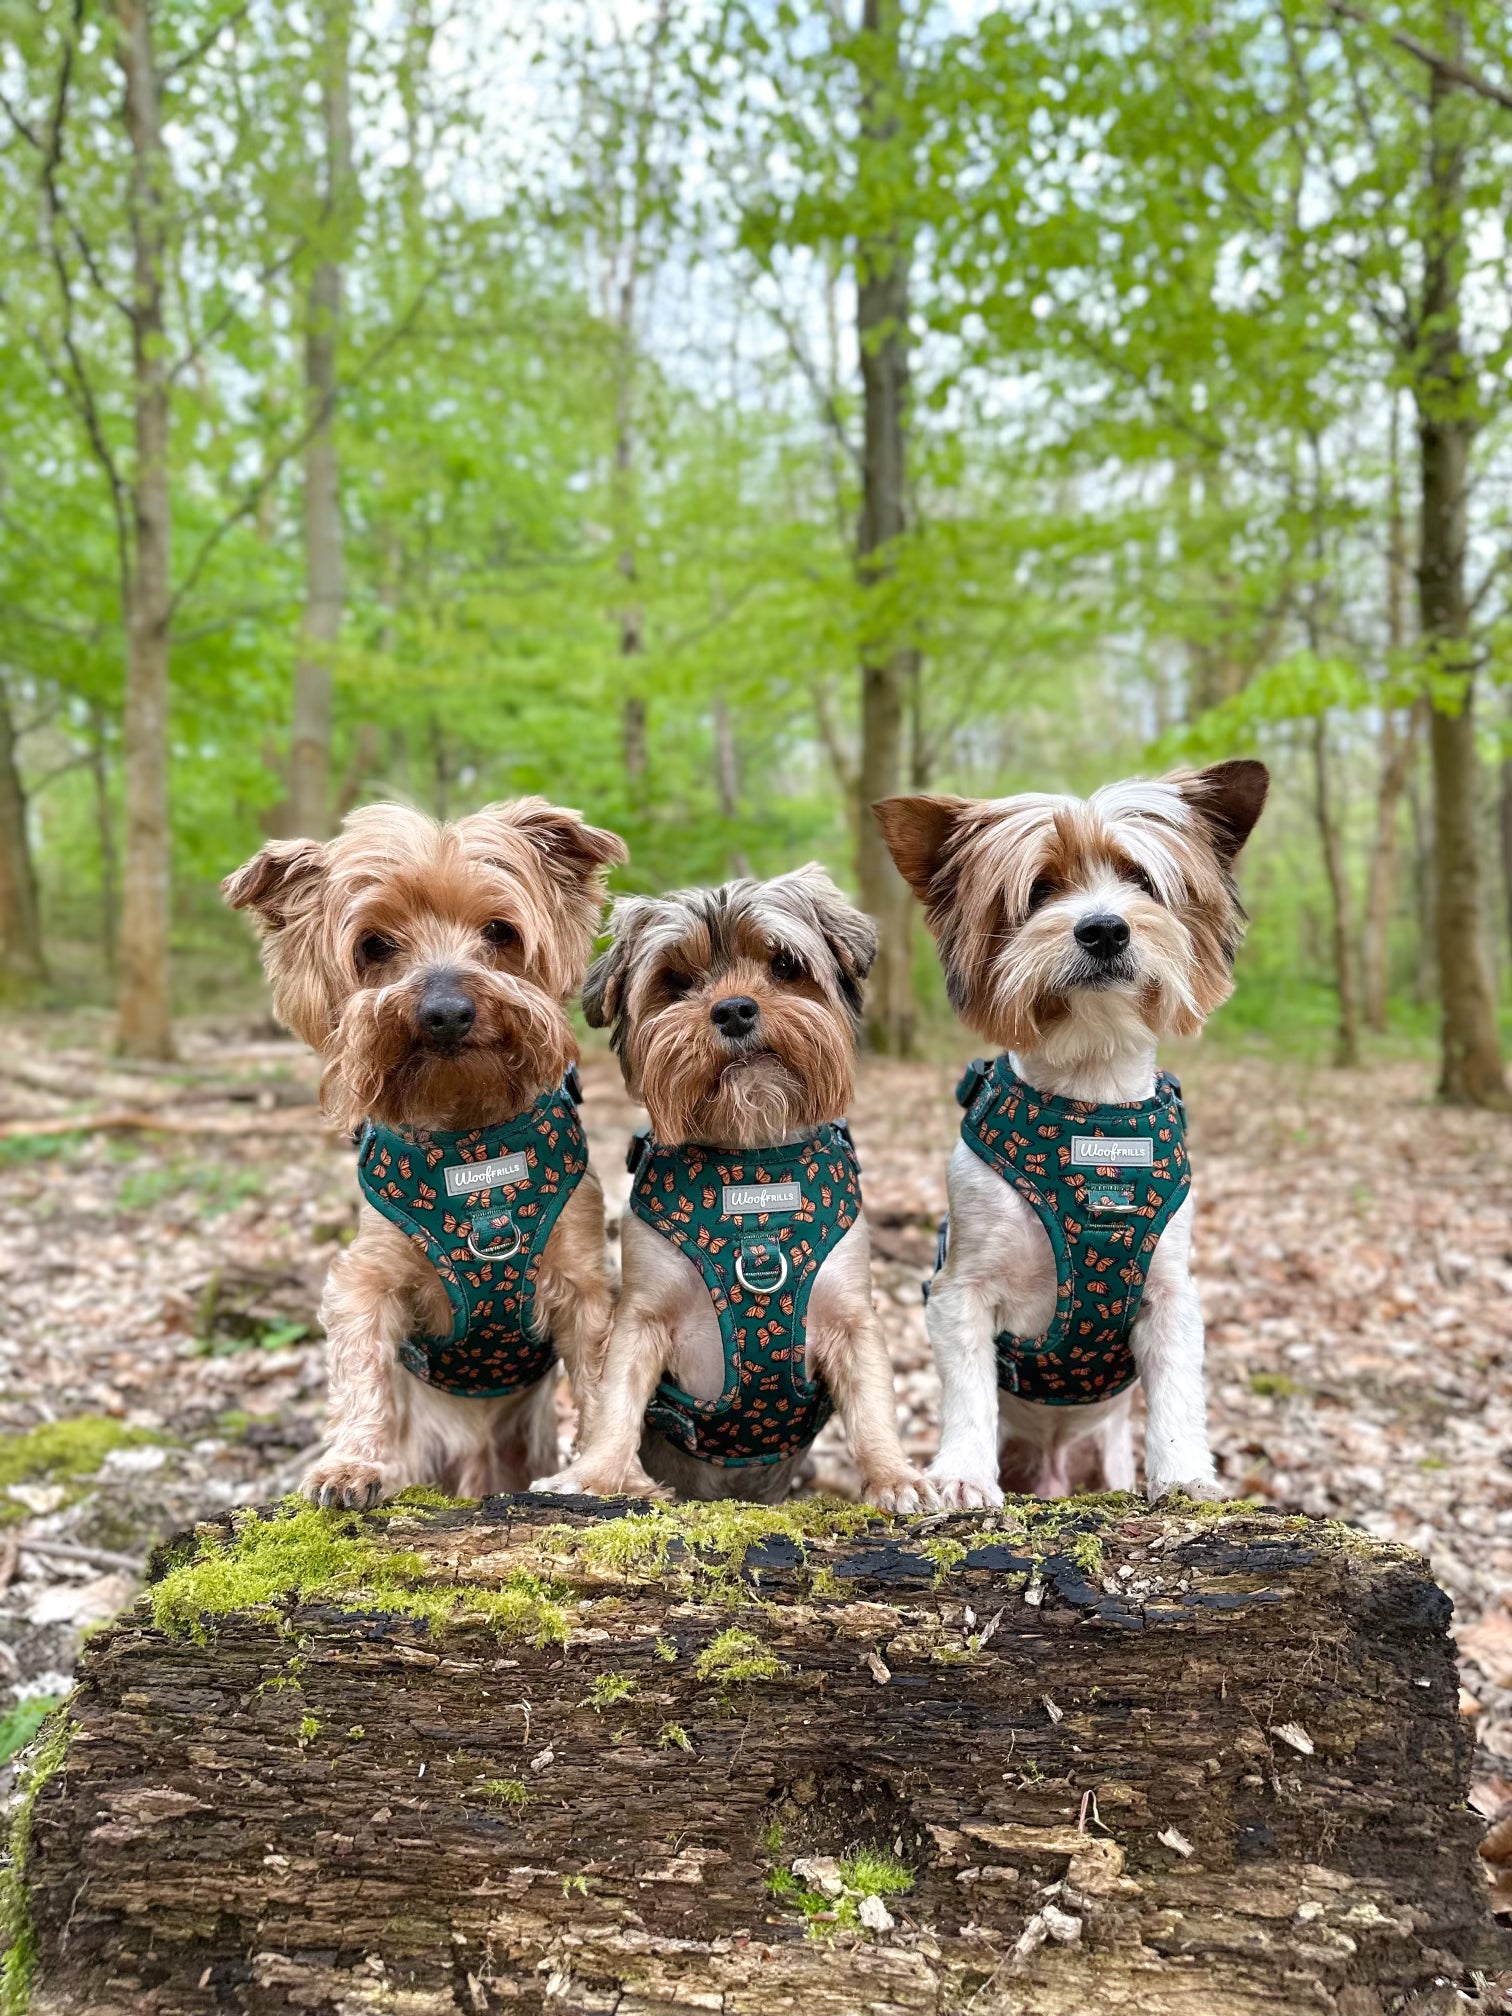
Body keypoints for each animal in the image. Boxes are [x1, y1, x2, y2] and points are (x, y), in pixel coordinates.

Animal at [874, 762, 1266, 1507]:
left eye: (1142, 881)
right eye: (1040, 891)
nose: (1104, 928)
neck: (1091, 1102)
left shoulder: (1171, 1295)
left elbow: (1177, 1393)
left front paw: (1184, 1477)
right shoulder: (960, 1290)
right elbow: (969, 1392)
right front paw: (963, 1475)